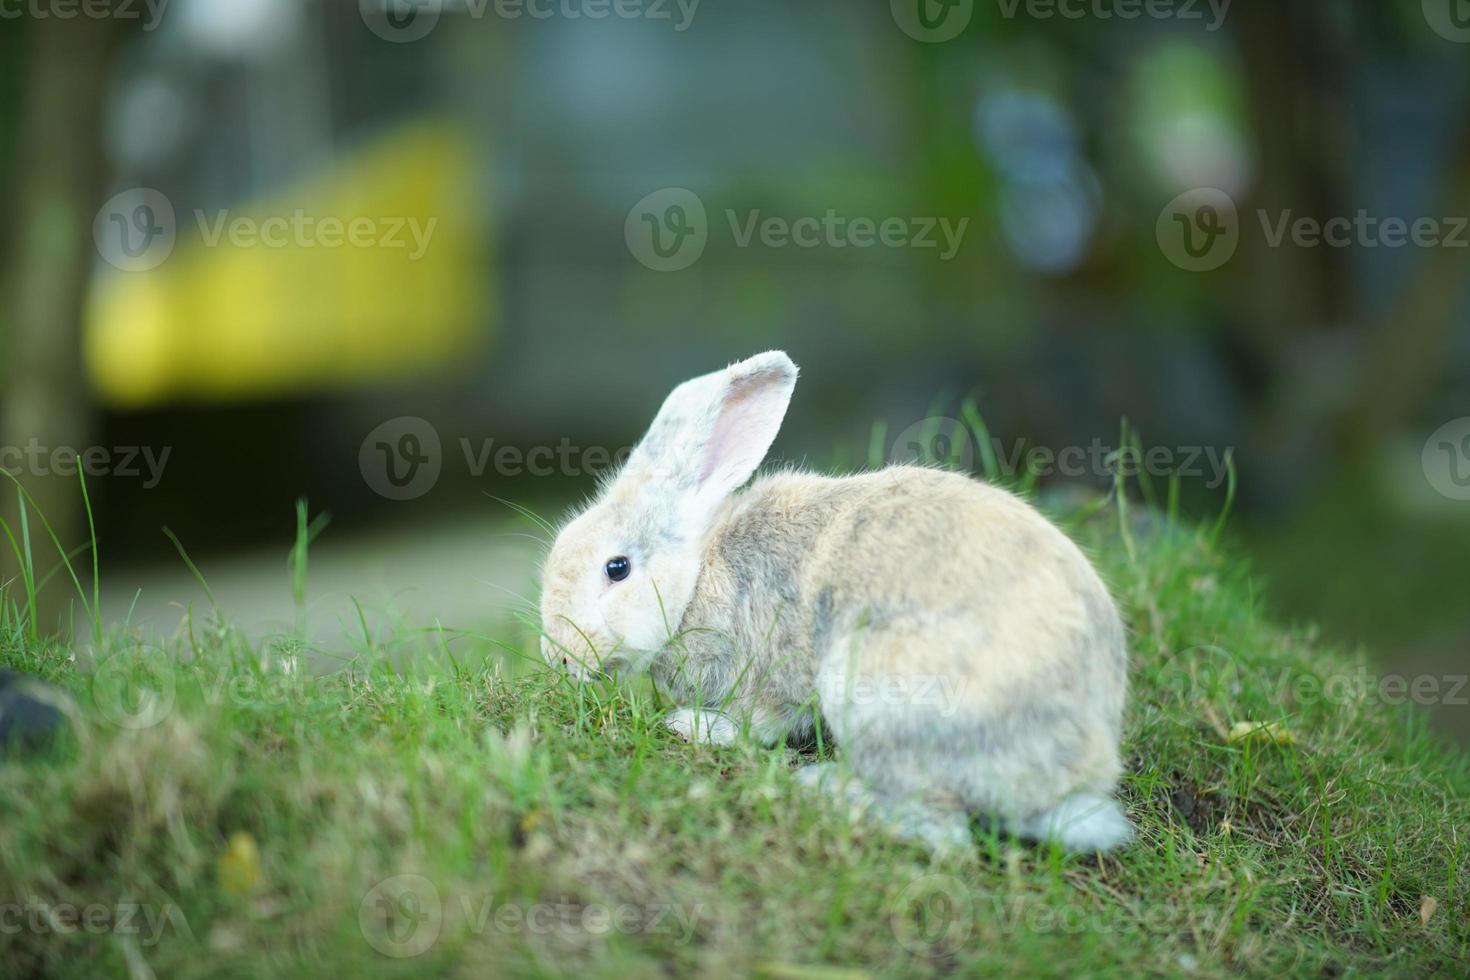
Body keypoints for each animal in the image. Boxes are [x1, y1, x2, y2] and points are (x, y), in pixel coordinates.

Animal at [540, 351, 1134, 852]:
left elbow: (762, 721)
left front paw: (697, 727)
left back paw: (826, 788)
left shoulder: (768, 673)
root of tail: (1072, 775)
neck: (698, 576)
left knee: (942, 828)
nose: (559, 657)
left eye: (617, 568)